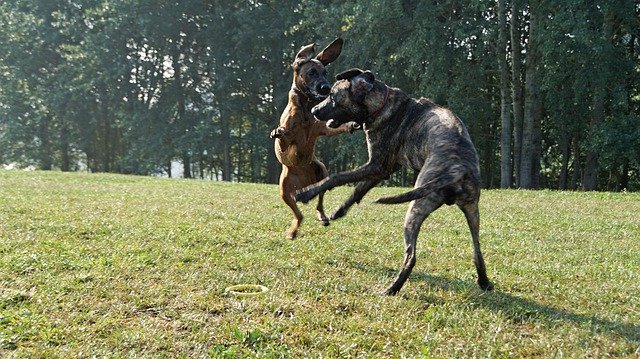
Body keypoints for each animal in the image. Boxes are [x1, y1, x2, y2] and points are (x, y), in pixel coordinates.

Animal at [268, 38, 358, 239]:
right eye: (311, 73)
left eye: (325, 72)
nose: (326, 88)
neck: (306, 108)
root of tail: (303, 185)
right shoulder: (289, 140)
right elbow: (284, 138)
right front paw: (278, 132)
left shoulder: (321, 128)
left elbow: (334, 127)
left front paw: (351, 124)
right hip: (284, 190)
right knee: (298, 215)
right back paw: (292, 231)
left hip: (321, 171)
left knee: (319, 202)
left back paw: (323, 217)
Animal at [296, 68, 496, 296]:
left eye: (332, 96)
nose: (314, 110)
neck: (381, 105)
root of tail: (458, 168)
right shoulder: (383, 169)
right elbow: (358, 190)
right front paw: (338, 211)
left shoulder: (375, 165)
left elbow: (336, 178)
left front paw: (306, 193)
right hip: (472, 211)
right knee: (477, 251)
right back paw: (484, 282)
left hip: (416, 209)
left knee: (411, 256)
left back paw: (391, 289)